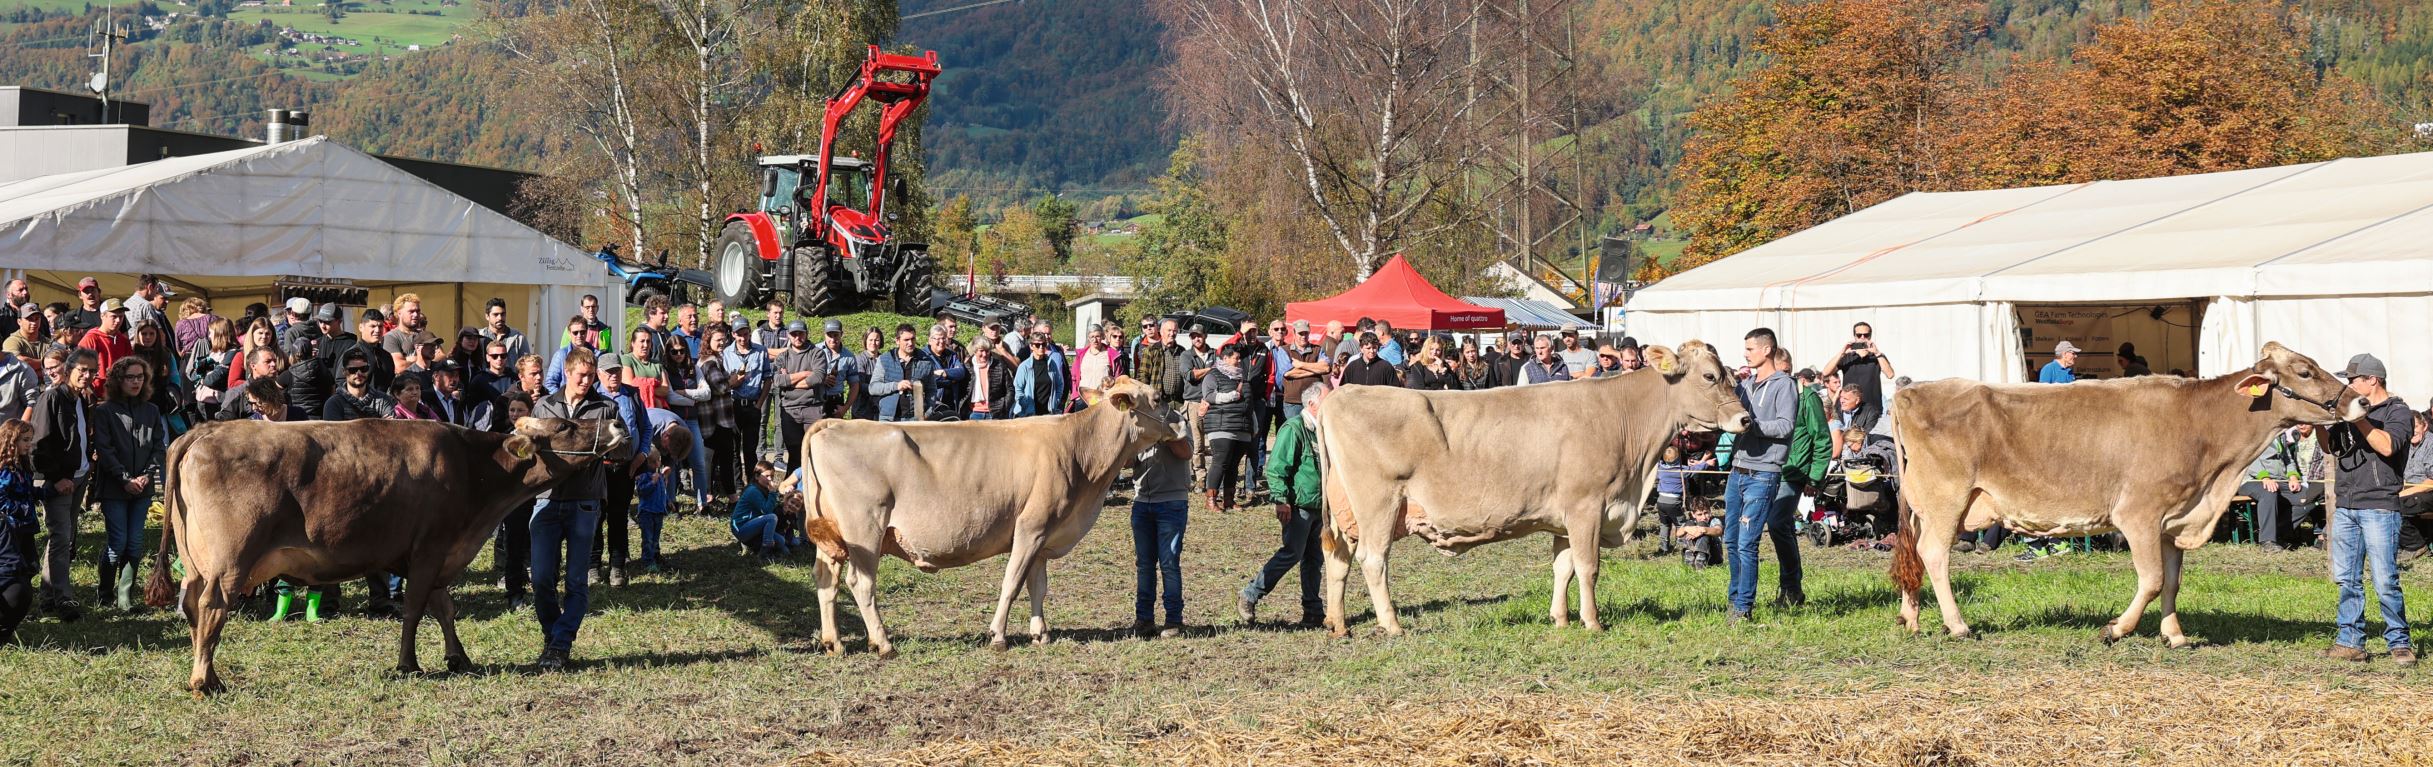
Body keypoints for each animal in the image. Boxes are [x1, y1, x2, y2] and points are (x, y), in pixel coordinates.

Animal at [145, 418, 632, 701]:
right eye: (566, 425)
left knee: (192, 608)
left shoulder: (441, 557)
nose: (617, 423)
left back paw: (205, 673)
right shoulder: (429, 548)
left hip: (196, 564)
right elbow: (415, 609)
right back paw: (205, 682)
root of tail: (204, 429)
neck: (475, 472)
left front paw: (458, 658)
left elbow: (444, 608)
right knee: (213, 607)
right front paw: (408, 664)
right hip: (230, 562)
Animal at [798, 377, 1177, 657]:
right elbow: (1012, 583)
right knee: (861, 583)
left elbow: (1038, 586)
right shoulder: (1030, 527)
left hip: (833, 537)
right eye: (1158, 397)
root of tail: (832, 424)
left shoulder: (1045, 534)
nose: (1180, 420)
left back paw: (835, 643)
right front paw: (998, 636)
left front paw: (1040, 634)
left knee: (825, 580)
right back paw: (884, 643)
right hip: (865, 529)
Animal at [1313, 343, 1751, 637]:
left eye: (1731, 375)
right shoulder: (1587, 506)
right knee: (1373, 560)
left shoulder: (1565, 518)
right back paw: (1392, 626)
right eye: (1709, 377)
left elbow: (1563, 567)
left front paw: (1560, 619)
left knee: (1338, 560)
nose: (1745, 419)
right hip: (1379, 504)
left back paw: (1339, 624)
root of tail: (1340, 393)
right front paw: (1592, 621)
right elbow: (1588, 567)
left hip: (1347, 511)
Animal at [1878, 343, 2355, 647]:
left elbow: (2173, 581)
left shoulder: (2172, 520)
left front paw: (2175, 635)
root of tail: (1911, 390)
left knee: (1915, 555)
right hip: (1947, 499)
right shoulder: (2138, 514)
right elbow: (2152, 579)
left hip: (1927, 506)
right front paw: (2117, 629)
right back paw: (1957, 626)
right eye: (2305, 372)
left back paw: (1911, 618)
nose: (2358, 402)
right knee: (1935, 554)